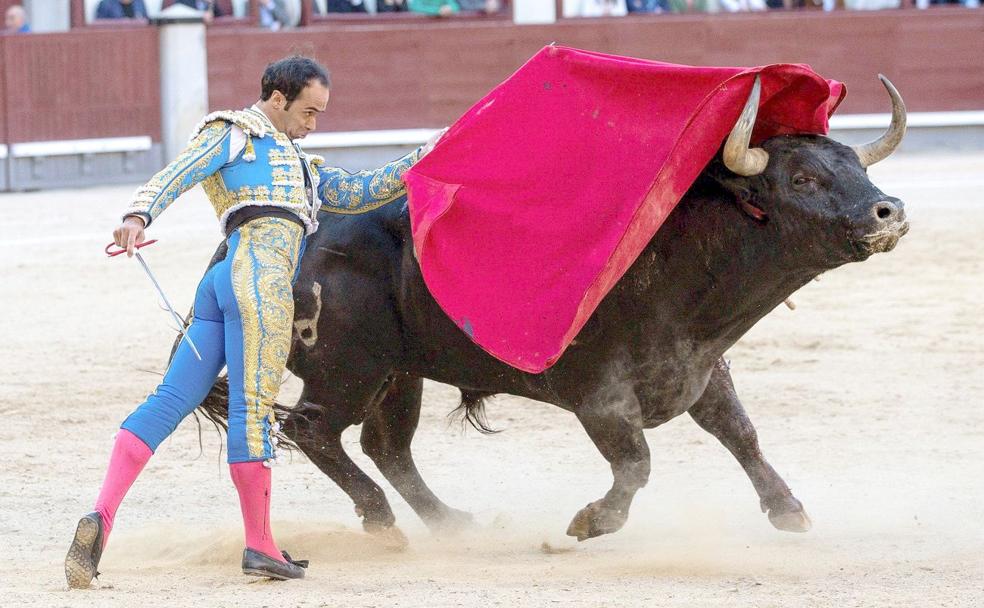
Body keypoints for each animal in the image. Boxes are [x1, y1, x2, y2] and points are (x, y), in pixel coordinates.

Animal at [196, 86, 912, 540]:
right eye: (802, 180)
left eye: (852, 165)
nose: (890, 212)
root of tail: (283, 227)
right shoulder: (600, 398)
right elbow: (636, 463)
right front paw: (590, 522)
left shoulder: (704, 373)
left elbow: (742, 435)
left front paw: (789, 510)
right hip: (347, 368)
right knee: (313, 430)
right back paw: (381, 521)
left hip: (399, 372)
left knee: (385, 445)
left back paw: (452, 523)